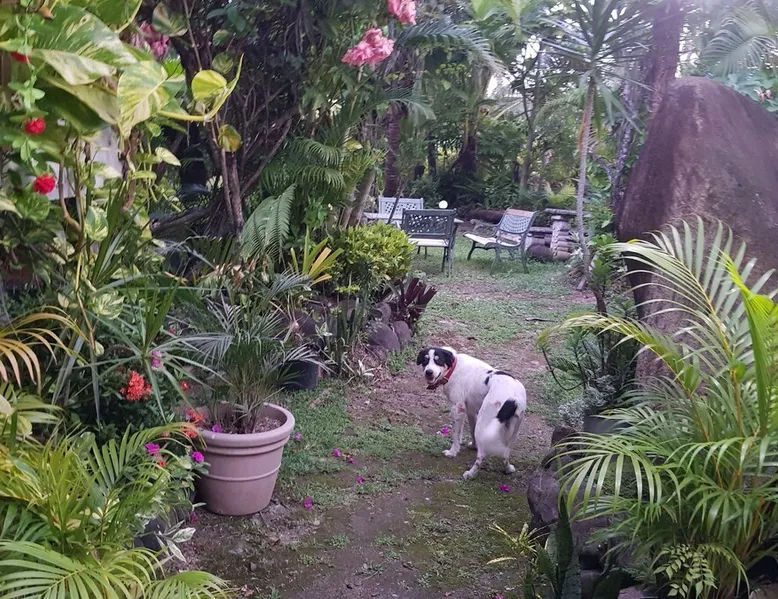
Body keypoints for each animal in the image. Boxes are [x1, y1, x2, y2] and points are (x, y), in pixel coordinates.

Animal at [417, 346, 526, 479]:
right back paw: (508, 469)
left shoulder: (457, 410)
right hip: (513, 430)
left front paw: (453, 452)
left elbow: (456, 435)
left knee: (481, 456)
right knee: (506, 454)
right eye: (425, 360)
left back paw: (470, 474)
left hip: (484, 423)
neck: (454, 367)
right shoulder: (471, 411)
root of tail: (512, 398)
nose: (428, 372)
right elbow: (471, 431)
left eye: (438, 361)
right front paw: (473, 446)